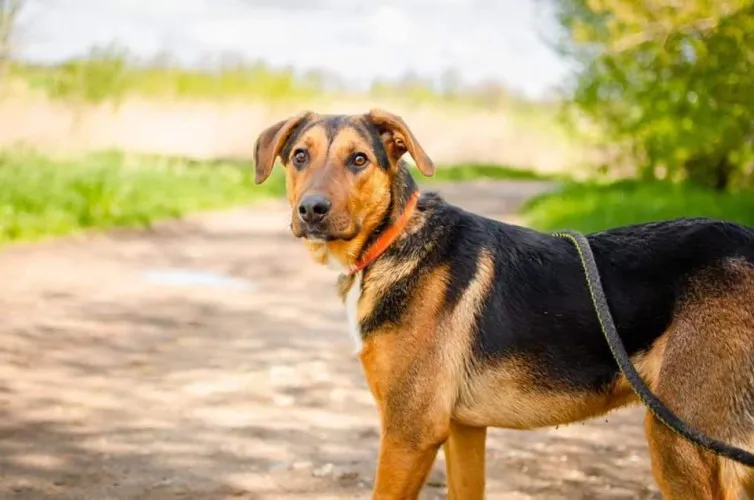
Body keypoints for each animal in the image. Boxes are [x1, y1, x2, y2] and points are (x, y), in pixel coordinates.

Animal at [251, 110, 752, 500]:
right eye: (300, 156)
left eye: (359, 160)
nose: (311, 210)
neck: (390, 239)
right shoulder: (462, 430)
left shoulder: (410, 432)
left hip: (680, 440)